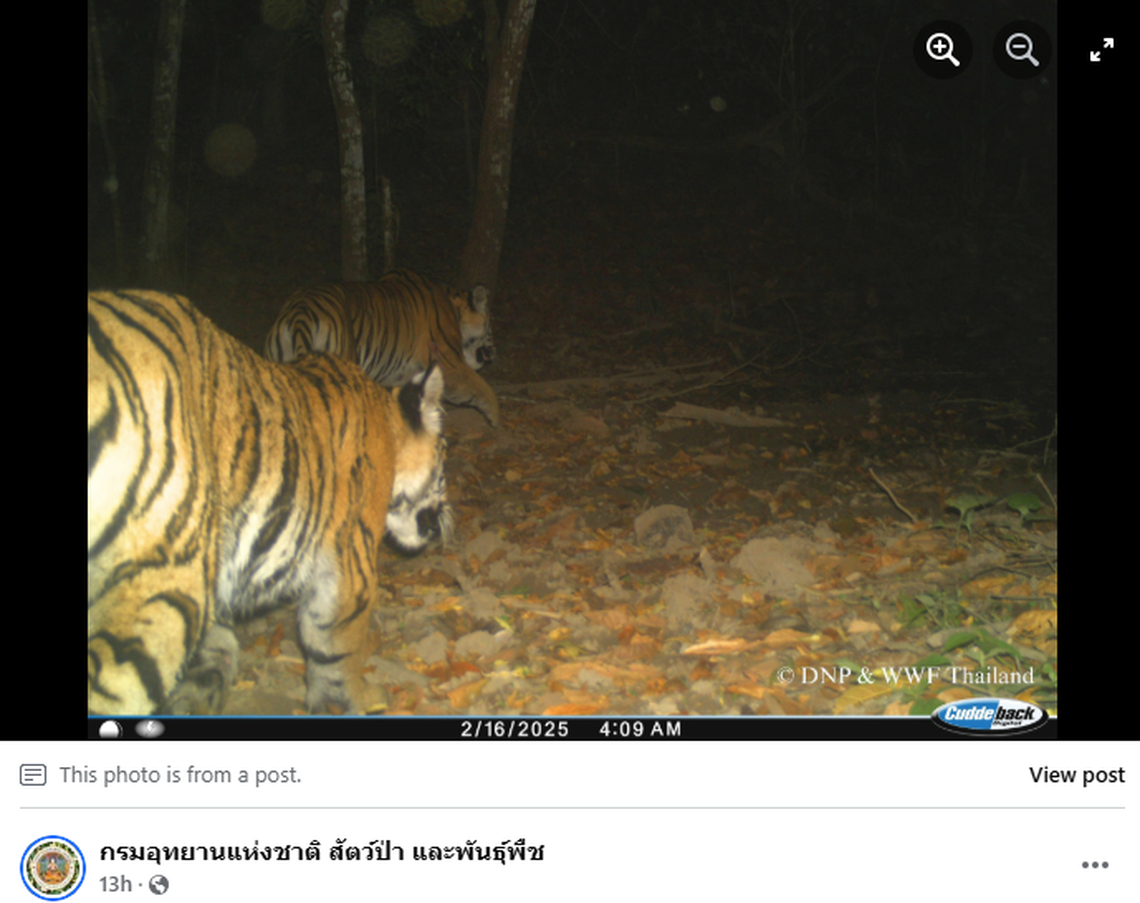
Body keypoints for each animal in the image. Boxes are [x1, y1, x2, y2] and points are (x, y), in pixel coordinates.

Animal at [88, 289, 452, 716]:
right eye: (445, 458)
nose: (446, 515)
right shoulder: (351, 562)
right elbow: (336, 649)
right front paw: (361, 699)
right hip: (166, 576)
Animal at [264, 268, 500, 427]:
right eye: (490, 325)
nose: (494, 351)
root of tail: (299, 314)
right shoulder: (449, 364)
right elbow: (483, 388)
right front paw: (496, 420)